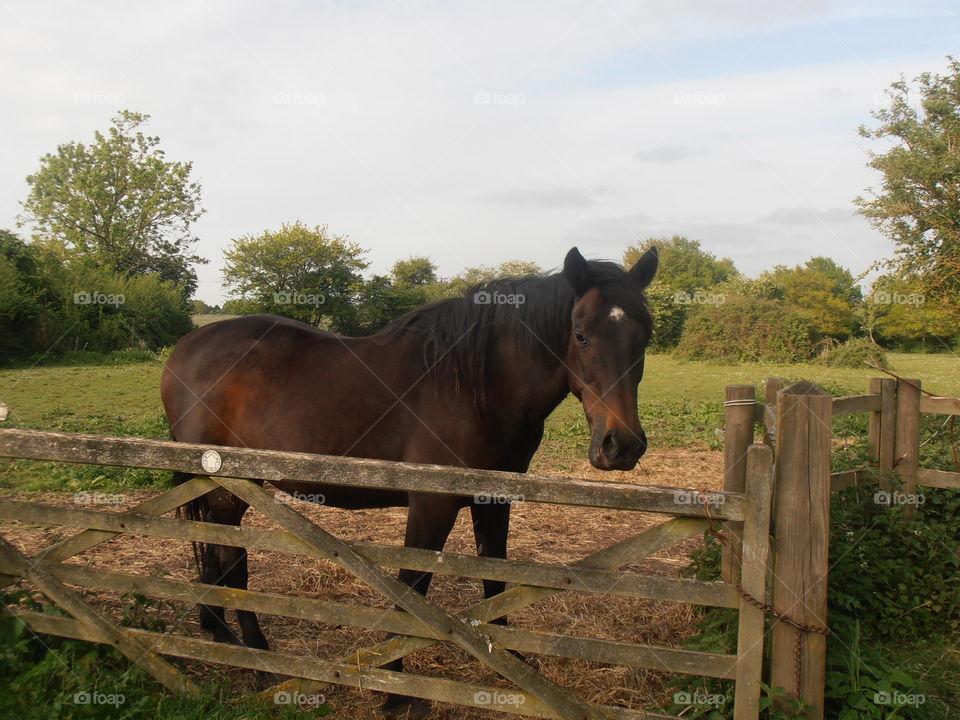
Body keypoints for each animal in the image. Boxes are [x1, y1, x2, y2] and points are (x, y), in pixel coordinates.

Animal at [163, 245, 660, 716]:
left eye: (645, 335)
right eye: (581, 335)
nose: (621, 445)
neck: (478, 386)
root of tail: (184, 348)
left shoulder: (494, 498)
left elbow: (495, 578)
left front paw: (513, 667)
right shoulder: (430, 504)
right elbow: (412, 588)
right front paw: (395, 688)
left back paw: (221, 634)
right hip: (227, 487)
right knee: (232, 561)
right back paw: (259, 658)